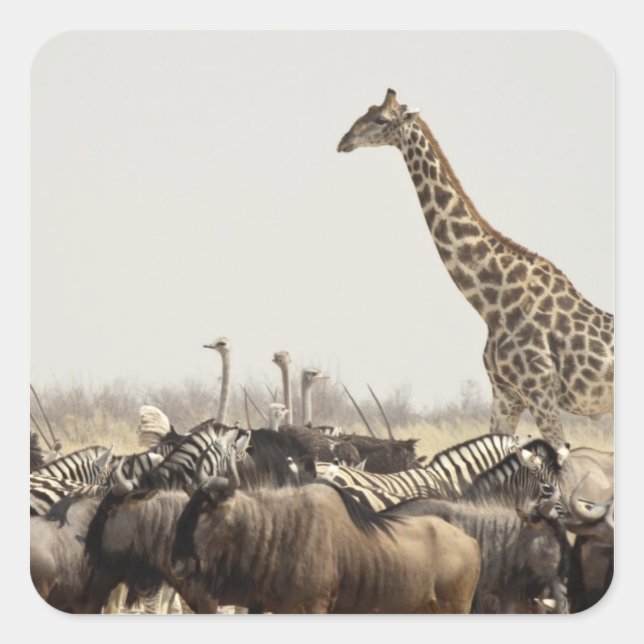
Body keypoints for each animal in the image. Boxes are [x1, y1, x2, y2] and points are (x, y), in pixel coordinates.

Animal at [337, 89, 614, 463]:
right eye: (365, 111)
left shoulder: (541, 392)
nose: (344, 141)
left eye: (380, 119)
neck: (493, 302)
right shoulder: (505, 395)